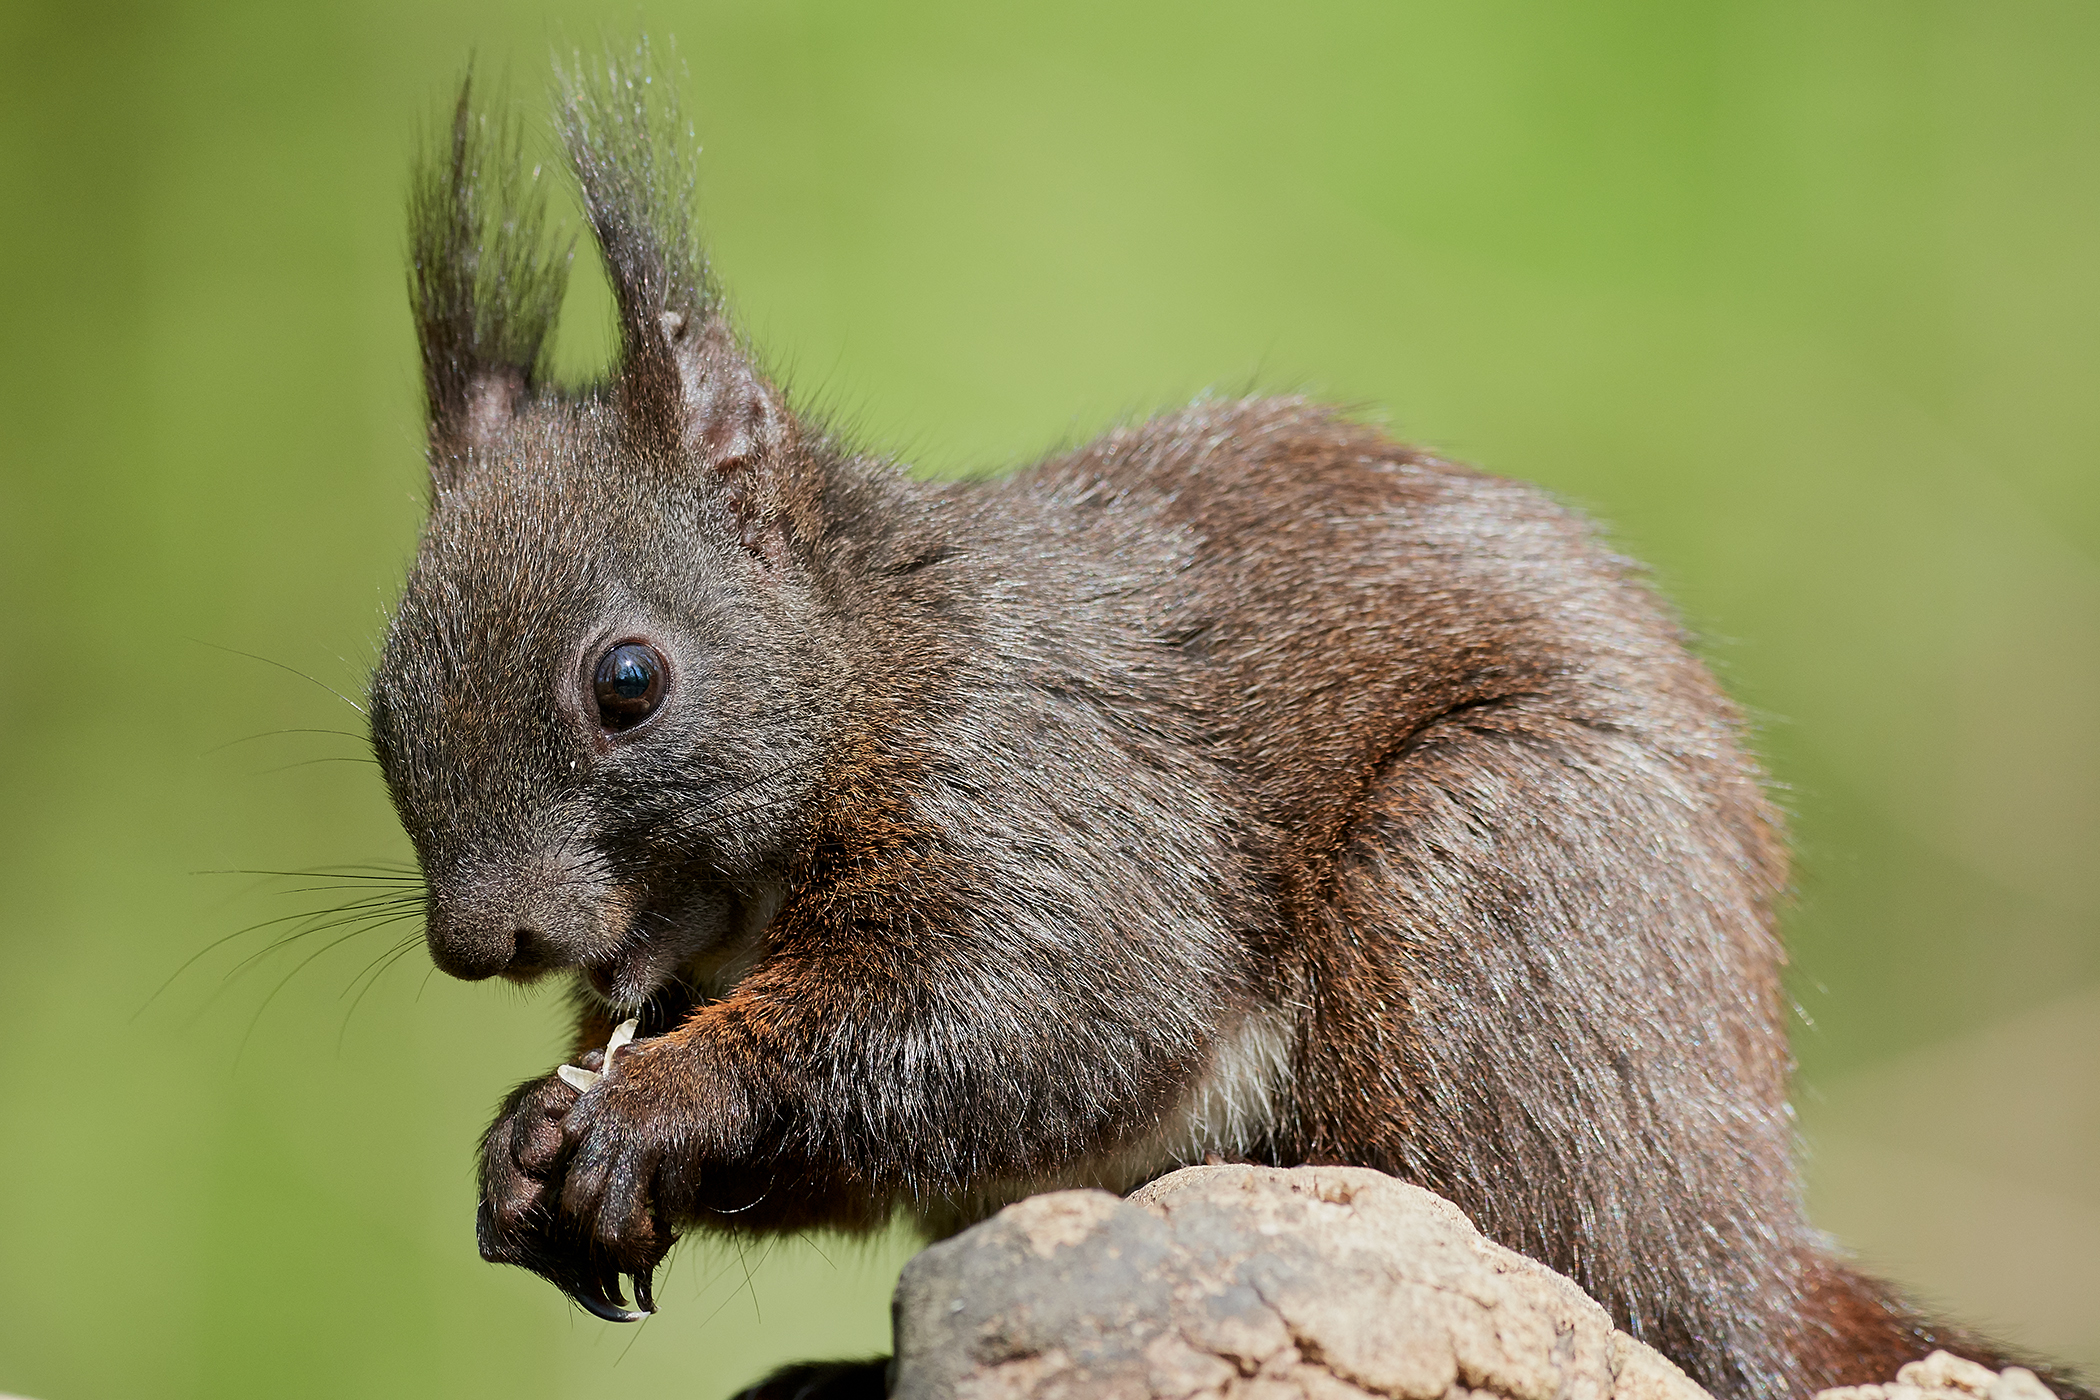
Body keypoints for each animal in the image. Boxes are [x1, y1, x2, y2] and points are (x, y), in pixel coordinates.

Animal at [368, 52, 2091, 1400]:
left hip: (1492, 883)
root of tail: (1751, 1243)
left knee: (1600, 1272)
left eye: (629, 681)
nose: (484, 941)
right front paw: (522, 1141)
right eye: (377, 707)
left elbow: (1022, 1013)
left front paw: (653, 1103)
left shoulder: (1052, 795)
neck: (878, 668)